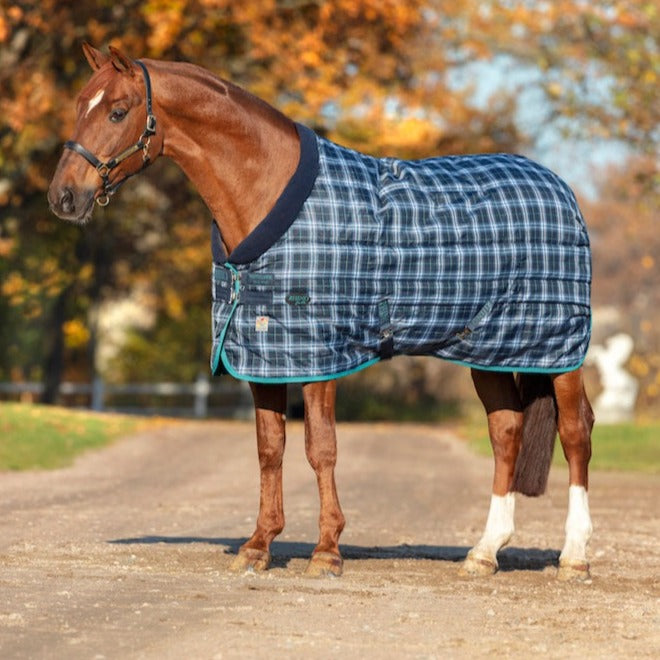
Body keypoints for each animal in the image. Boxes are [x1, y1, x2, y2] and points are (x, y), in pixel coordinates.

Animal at [48, 45, 594, 581]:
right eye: (77, 106)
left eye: (118, 111)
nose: (63, 197)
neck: (265, 190)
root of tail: (560, 187)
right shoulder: (265, 355)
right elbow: (270, 449)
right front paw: (258, 545)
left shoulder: (320, 356)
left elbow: (321, 448)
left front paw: (327, 550)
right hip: (492, 350)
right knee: (506, 432)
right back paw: (484, 553)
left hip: (559, 350)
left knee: (575, 432)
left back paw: (574, 556)